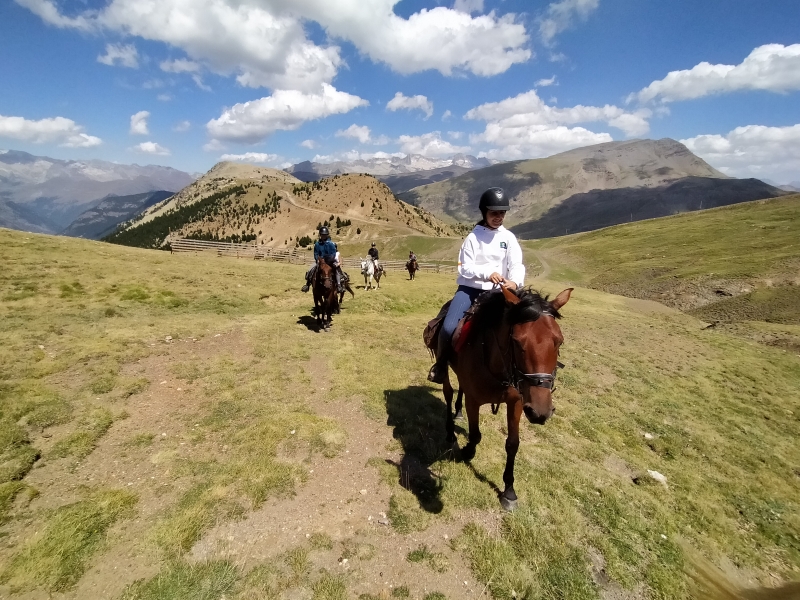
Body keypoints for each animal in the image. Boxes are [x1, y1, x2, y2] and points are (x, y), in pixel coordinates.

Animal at [428, 288, 572, 510]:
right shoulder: (473, 401)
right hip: (444, 370)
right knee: (449, 392)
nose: (540, 412)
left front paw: (509, 491)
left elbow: (512, 444)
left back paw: (458, 413)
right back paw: (451, 433)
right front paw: (467, 451)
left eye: (559, 341)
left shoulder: (517, 403)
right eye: (517, 341)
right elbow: (475, 435)